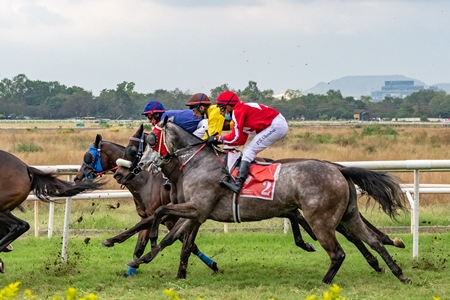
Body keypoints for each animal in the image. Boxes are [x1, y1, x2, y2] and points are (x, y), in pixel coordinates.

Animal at [114, 121, 410, 284]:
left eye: (150, 140)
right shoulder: (196, 213)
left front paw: (144, 246)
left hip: (321, 219)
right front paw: (140, 260)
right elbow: (172, 238)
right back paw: (399, 273)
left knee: (338, 253)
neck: (197, 164)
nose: (137, 167)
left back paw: (325, 282)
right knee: (371, 240)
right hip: (348, 215)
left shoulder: (197, 208)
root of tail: (339, 169)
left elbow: (160, 216)